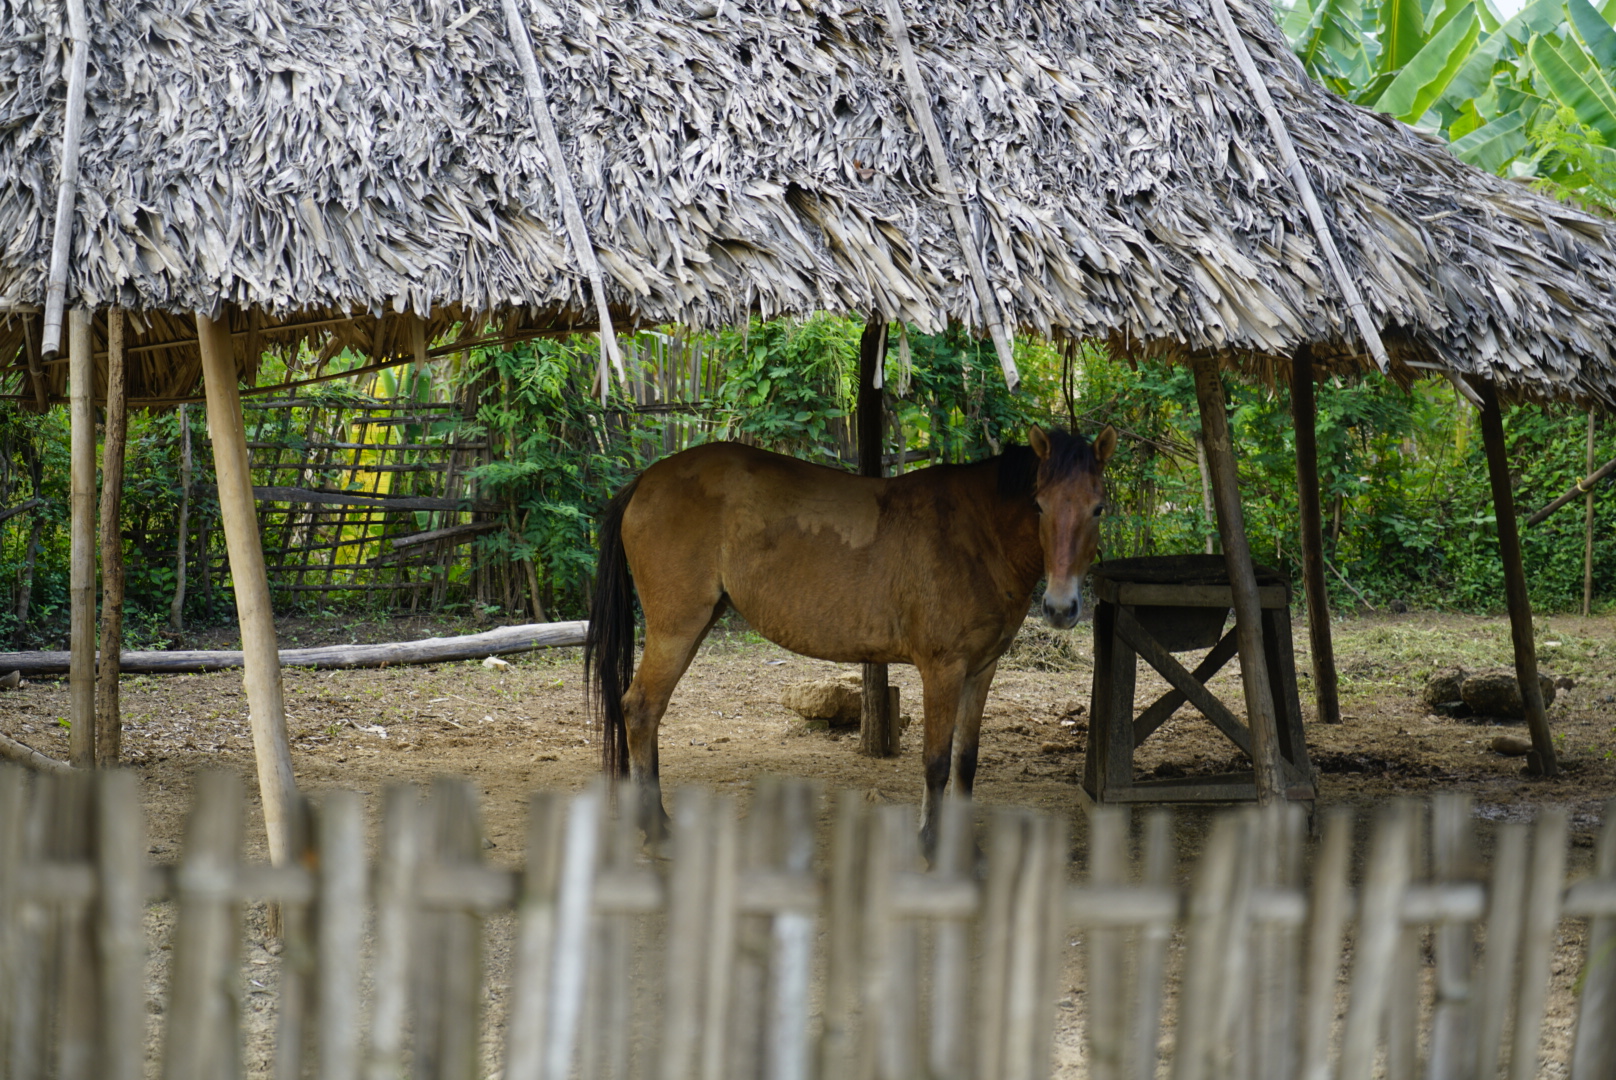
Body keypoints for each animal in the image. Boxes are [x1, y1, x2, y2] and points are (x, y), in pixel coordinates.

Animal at [588, 420, 1118, 853]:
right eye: (1039, 504)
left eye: (1098, 508)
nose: (1061, 608)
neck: (976, 532)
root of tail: (645, 482)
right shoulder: (943, 669)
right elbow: (935, 761)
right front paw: (931, 845)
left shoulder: (981, 669)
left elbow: (965, 762)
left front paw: (965, 848)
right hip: (676, 629)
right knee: (641, 709)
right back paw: (657, 829)